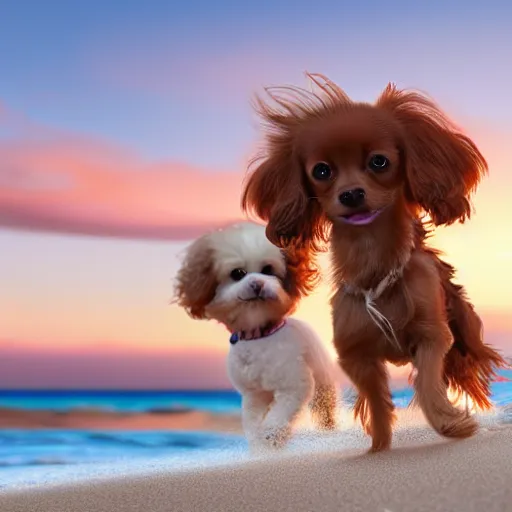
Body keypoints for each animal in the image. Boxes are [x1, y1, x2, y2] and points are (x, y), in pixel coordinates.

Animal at [174, 221, 338, 448]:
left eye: (268, 270)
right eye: (238, 273)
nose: (258, 284)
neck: (259, 336)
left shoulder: (294, 385)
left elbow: (279, 415)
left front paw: (271, 436)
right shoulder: (254, 394)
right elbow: (252, 421)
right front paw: (259, 443)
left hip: (323, 383)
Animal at [242, 73, 506, 452]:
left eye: (379, 162)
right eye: (321, 171)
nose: (351, 194)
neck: (372, 261)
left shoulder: (432, 337)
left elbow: (427, 383)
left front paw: (449, 423)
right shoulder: (355, 355)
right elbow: (377, 403)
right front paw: (378, 448)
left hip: (466, 338)